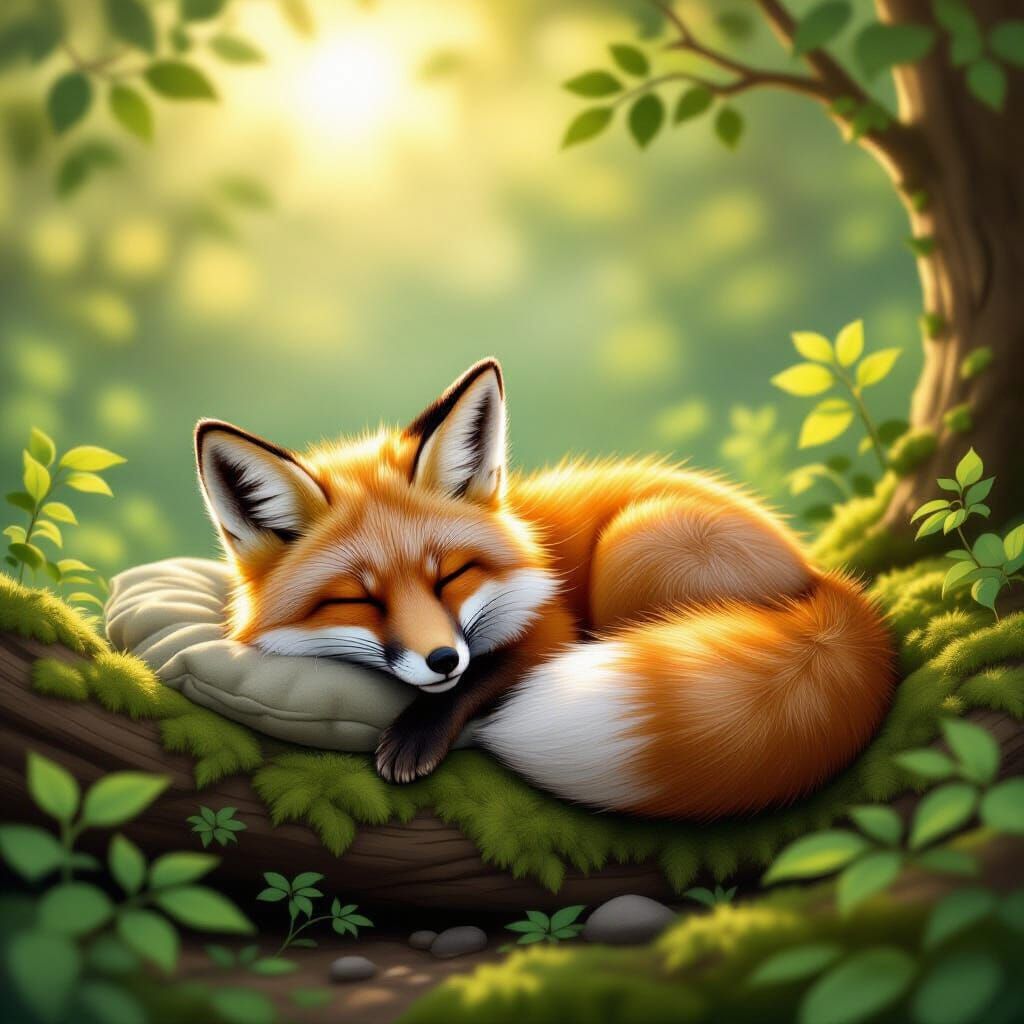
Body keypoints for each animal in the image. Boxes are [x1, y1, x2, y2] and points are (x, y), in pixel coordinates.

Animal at [194, 358, 895, 819]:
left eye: (450, 576)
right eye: (358, 599)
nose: (442, 659)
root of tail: (823, 579)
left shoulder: (554, 628)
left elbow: (491, 669)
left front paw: (419, 732)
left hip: (630, 548)